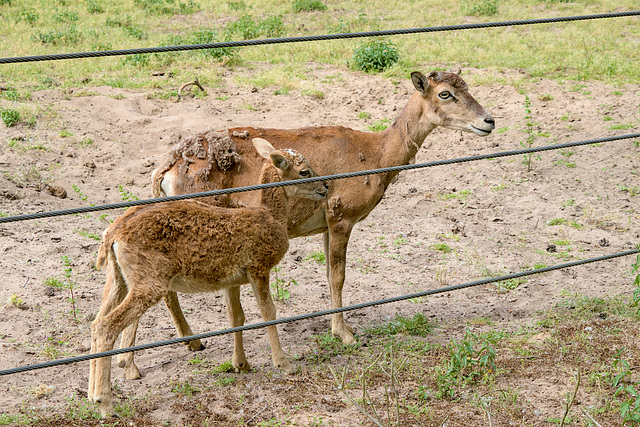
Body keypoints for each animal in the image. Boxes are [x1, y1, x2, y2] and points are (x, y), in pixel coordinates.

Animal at [87, 140, 328, 418]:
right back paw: (106, 404)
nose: (326, 186)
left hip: (118, 279)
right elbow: (269, 312)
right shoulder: (258, 267)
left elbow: (236, 317)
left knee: (96, 322)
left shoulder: (232, 280)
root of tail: (113, 236)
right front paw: (284, 364)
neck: (270, 216)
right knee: (108, 326)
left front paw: (241, 365)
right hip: (148, 282)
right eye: (304, 172)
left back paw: (92, 395)